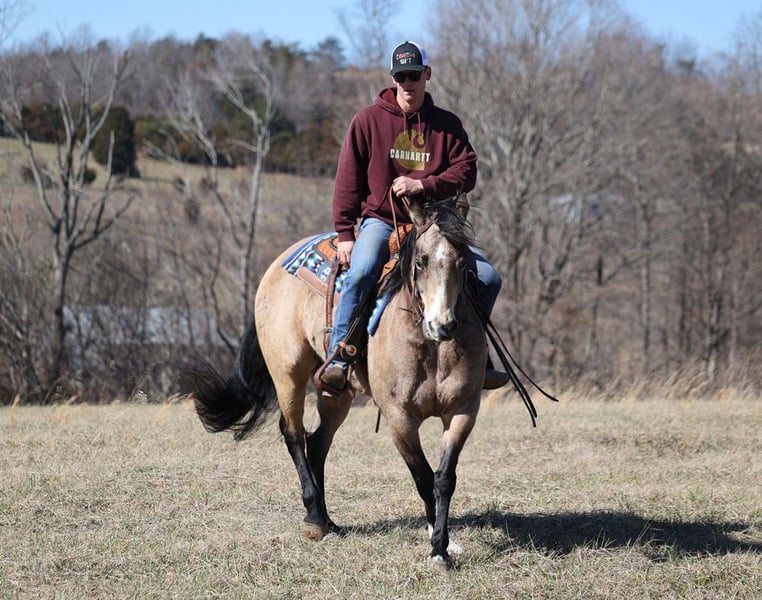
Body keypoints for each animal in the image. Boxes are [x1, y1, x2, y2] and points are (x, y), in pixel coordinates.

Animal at [188, 196, 520, 569]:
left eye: (464, 262)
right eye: (421, 261)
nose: (442, 325)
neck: (430, 347)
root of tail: (275, 268)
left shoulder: (463, 411)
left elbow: (444, 479)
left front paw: (442, 545)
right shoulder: (399, 418)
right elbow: (422, 477)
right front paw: (436, 546)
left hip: (336, 392)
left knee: (317, 442)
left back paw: (327, 519)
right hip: (288, 373)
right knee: (293, 434)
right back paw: (313, 518)